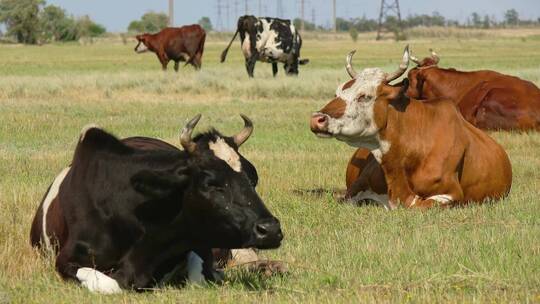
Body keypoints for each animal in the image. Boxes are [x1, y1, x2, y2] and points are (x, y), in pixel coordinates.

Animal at [29, 115, 282, 294]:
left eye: (251, 179)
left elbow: (200, 277)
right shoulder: (65, 260)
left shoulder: (199, 244)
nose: (270, 229)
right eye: (210, 183)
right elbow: (110, 284)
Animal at [310, 47, 512, 209]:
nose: (316, 119)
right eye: (337, 93)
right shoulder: (354, 190)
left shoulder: (451, 194)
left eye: (364, 96)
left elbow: (416, 205)